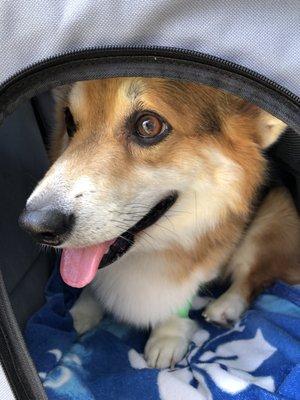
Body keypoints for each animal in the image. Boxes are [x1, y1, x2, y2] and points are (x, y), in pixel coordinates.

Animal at [19, 78, 298, 368]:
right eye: (69, 120)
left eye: (148, 125)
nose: (35, 226)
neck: (152, 249)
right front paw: (82, 311)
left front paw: (168, 335)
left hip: (272, 216)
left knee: (254, 276)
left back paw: (224, 307)